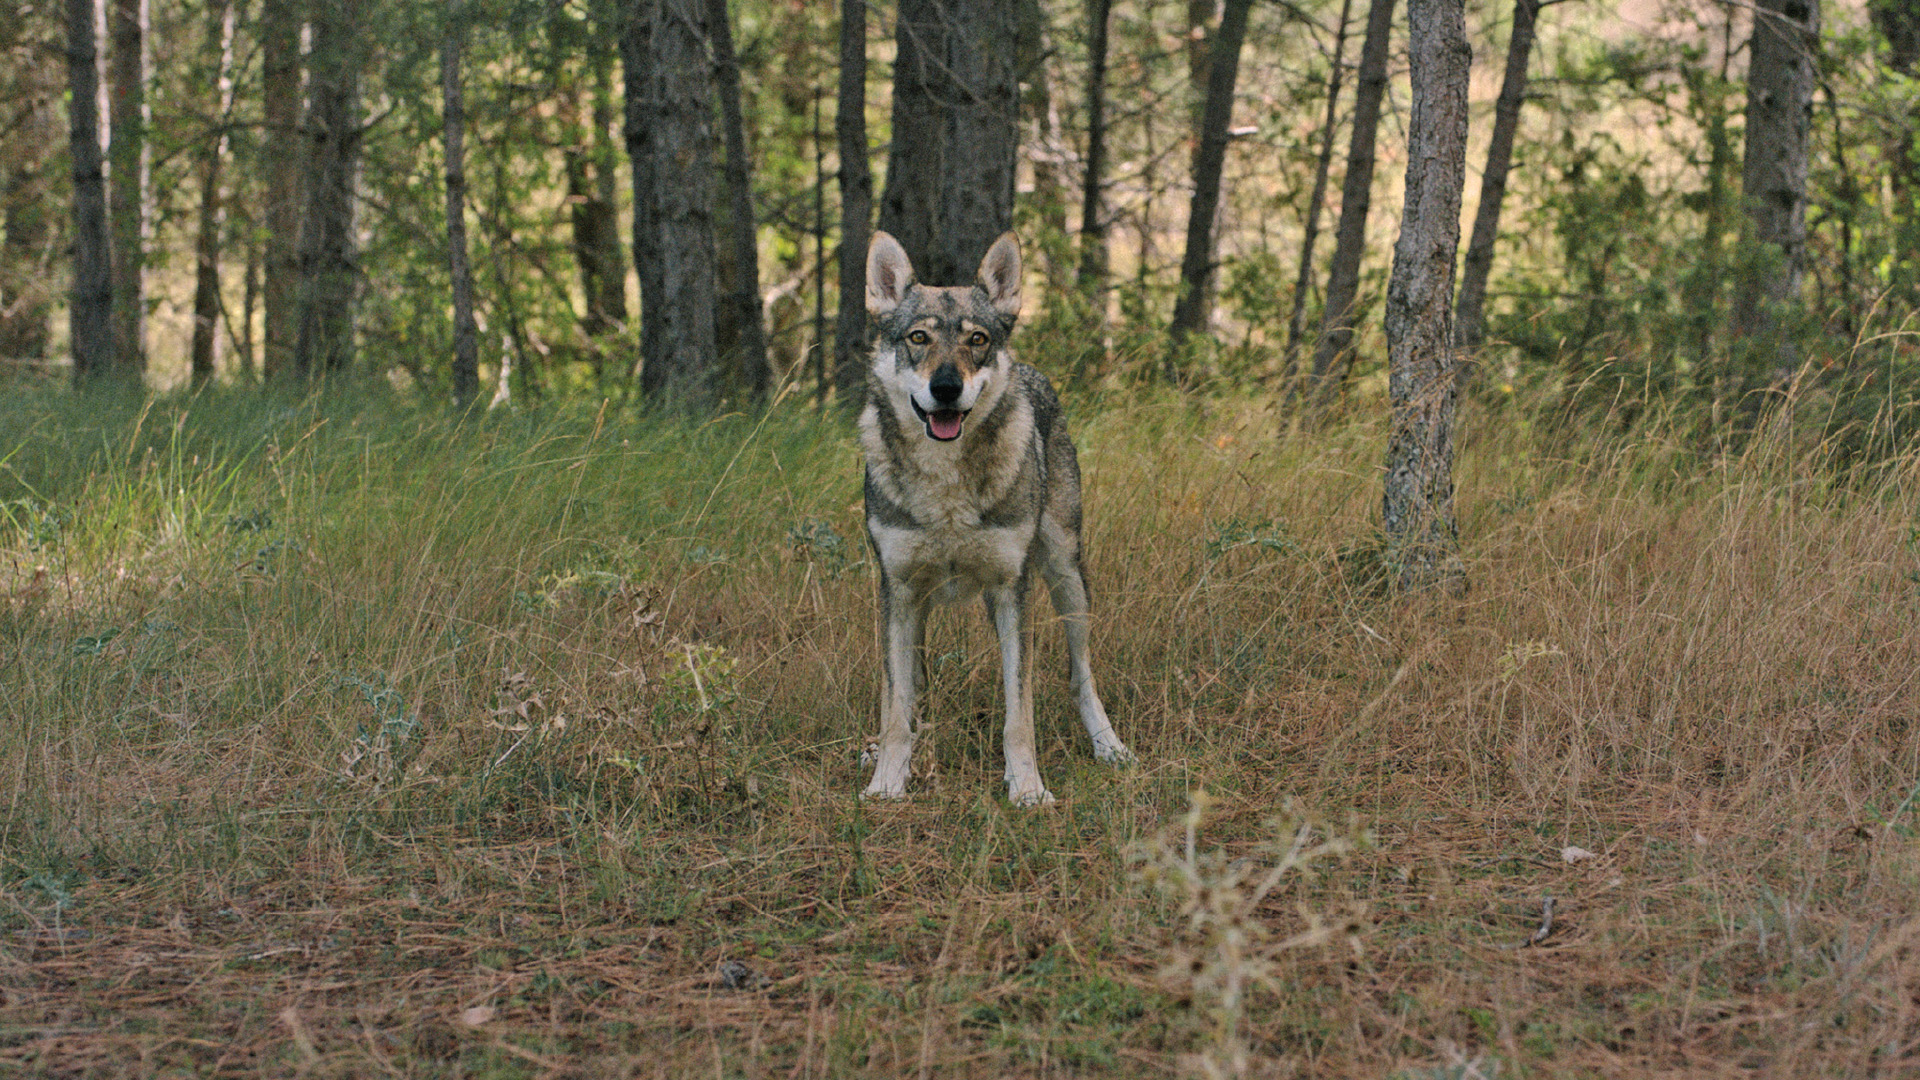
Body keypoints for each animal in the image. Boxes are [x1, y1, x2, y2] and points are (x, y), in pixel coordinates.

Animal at [859, 230, 1131, 806]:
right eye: (918, 337)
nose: (945, 388)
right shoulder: (897, 591)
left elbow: (1018, 714)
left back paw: (1109, 745)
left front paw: (1027, 789)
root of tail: (1032, 371)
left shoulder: (1013, 592)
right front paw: (887, 783)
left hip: (1066, 578)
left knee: (1081, 676)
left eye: (978, 340)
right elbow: (896, 707)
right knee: (908, 691)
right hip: (920, 607)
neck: (946, 489)